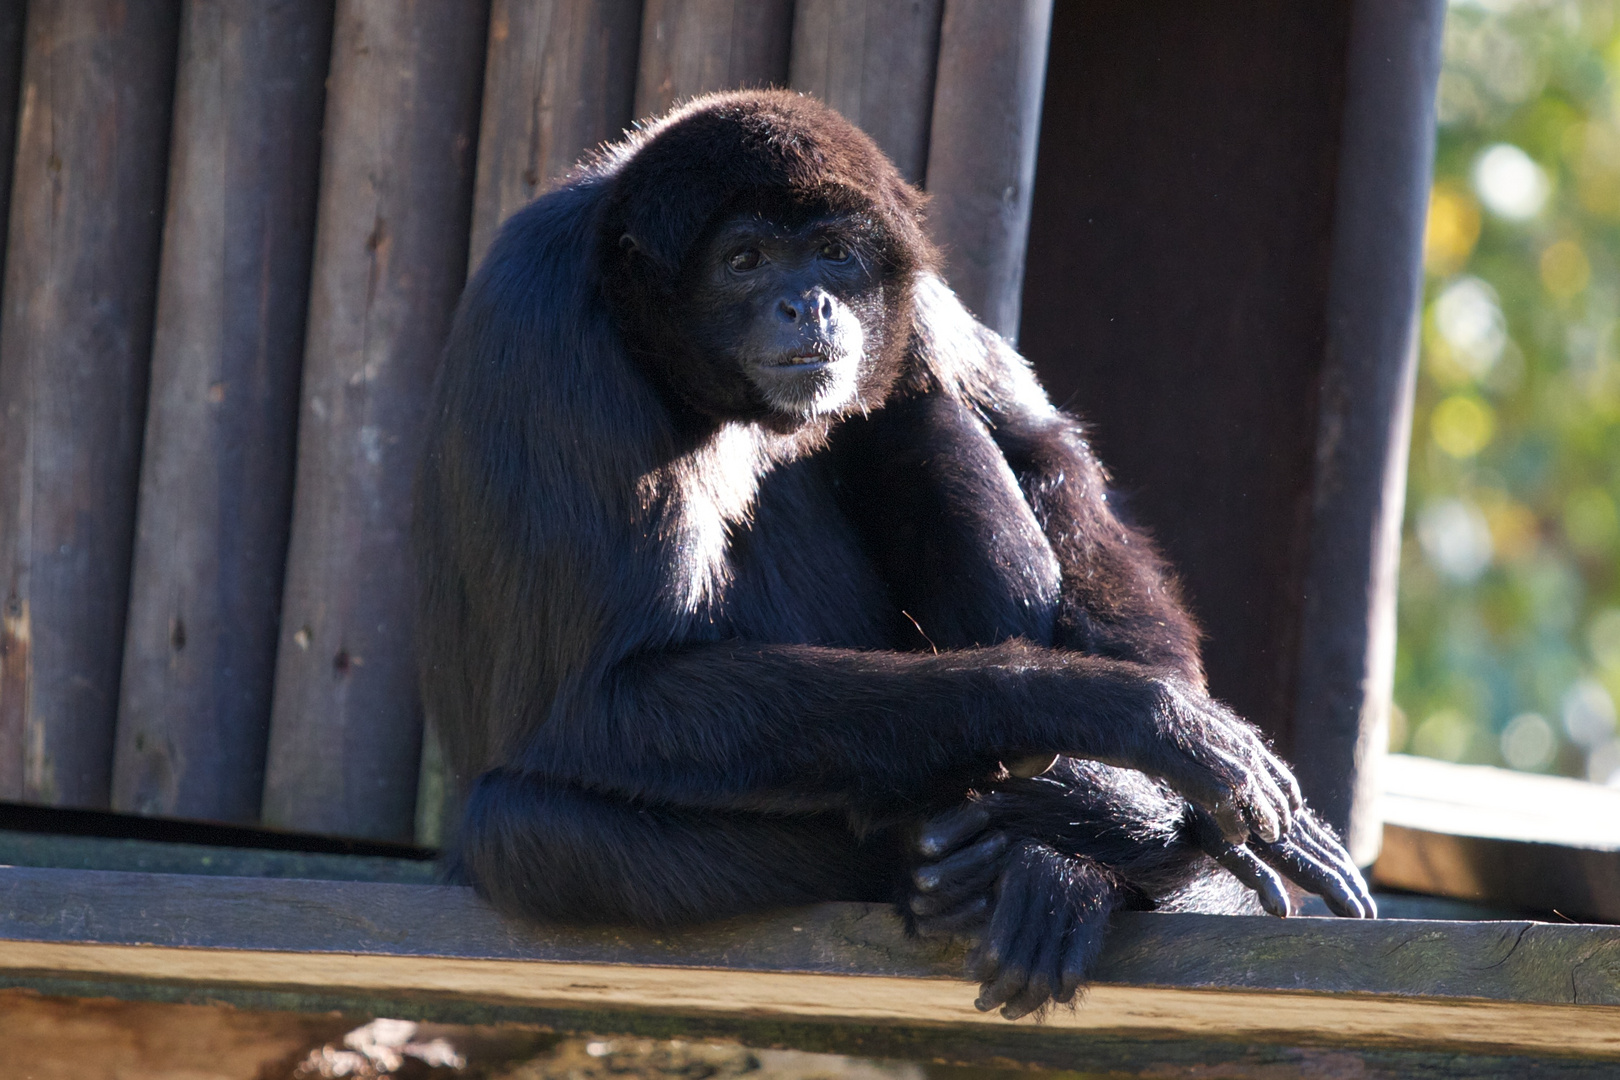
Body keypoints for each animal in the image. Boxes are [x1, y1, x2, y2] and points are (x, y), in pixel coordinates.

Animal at [414, 93, 1367, 1023]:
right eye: (744, 261)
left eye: (832, 255)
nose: (808, 305)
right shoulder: (550, 331)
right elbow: (606, 698)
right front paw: (1118, 726)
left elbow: (1044, 450)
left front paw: (1119, 808)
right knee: (526, 825)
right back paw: (969, 852)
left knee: (921, 414)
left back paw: (1057, 867)